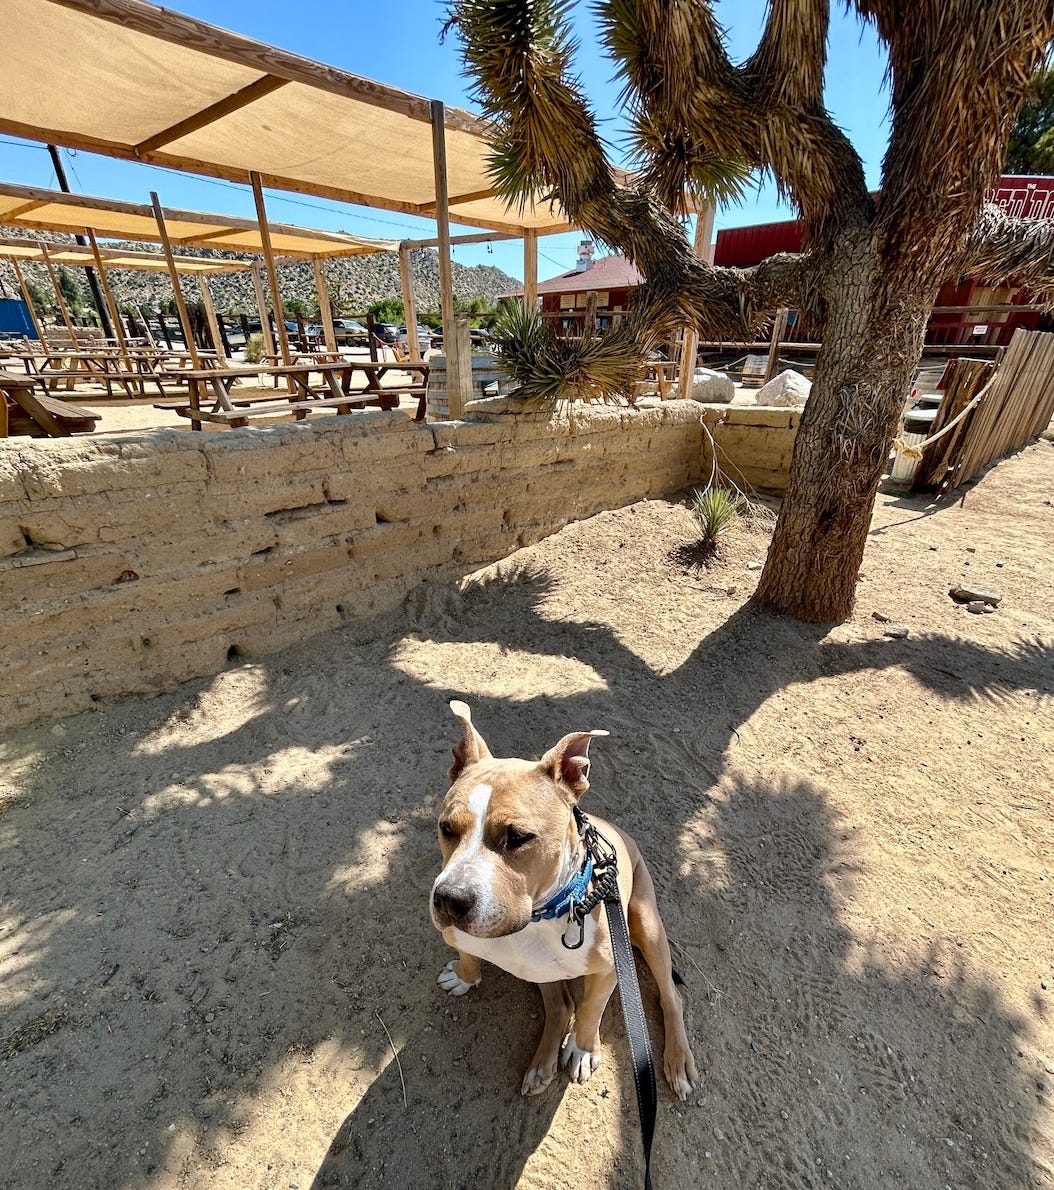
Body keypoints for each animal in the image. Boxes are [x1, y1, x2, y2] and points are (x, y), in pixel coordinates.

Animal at [433, 699, 699, 1099]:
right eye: (446, 828)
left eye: (518, 836)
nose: (449, 899)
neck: (537, 918)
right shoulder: (462, 936)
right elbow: (469, 956)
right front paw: (465, 977)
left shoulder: (609, 969)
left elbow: (590, 1011)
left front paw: (582, 1049)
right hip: (546, 969)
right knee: (561, 1005)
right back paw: (541, 1065)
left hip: (647, 926)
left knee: (670, 995)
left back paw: (678, 1060)